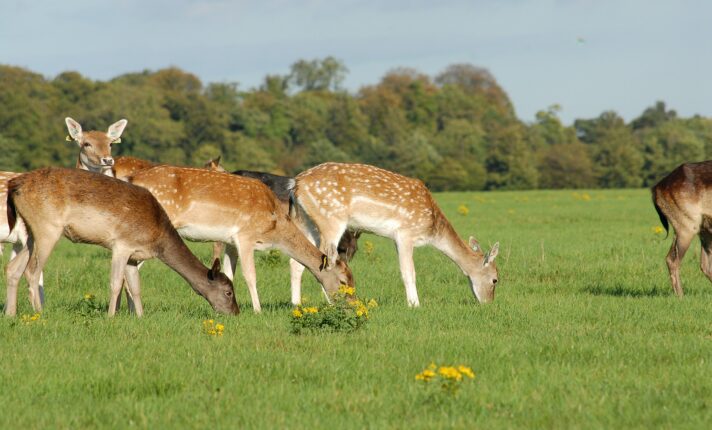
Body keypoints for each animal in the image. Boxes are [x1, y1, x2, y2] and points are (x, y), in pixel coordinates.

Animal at [3, 166, 239, 318]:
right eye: (228, 291)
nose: (235, 312)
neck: (157, 237)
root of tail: (15, 184)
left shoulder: (134, 256)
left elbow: (136, 287)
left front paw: (140, 317)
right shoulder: (121, 245)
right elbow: (116, 283)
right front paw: (110, 317)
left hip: (30, 231)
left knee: (13, 267)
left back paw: (10, 314)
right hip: (48, 228)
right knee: (32, 271)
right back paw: (40, 313)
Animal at [129, 165, 356, 312]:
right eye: (344, 281)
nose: (352, 305)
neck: (274, 226)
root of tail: (132, 179)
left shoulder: (231, 242)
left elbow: (229, 273)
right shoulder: (246, 235)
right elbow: (250, 275)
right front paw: (258, 310)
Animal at [290, 161, 500, 306]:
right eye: (495, 279)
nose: (488, 303)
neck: (431, 229)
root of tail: (296, 184)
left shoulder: (397, 239)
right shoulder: (406, 233)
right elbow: (409, 272)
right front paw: (415, 305)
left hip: (305, 221)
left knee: (298, 261)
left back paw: (296, 303)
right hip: (331, 219)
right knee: (327, 261)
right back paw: (332, 301)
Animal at [652, 160, 712, 298]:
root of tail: (656, 189)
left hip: (704, 229)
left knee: (705, 265)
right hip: (687, 226)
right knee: (672, 259)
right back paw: (680, 296)